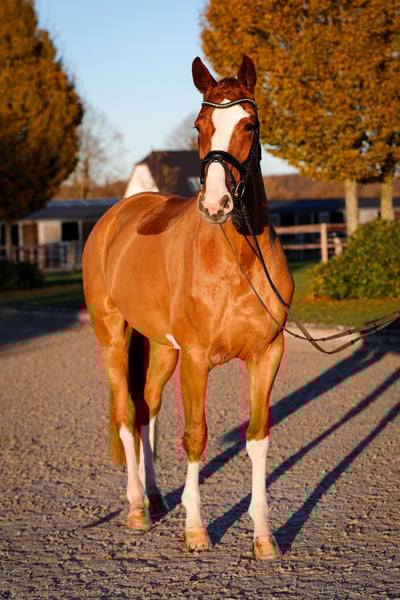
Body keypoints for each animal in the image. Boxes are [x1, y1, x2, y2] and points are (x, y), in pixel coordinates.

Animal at [82, 55, 294, 560]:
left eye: (249, 124)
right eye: (200, 126)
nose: (215, 204)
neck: (237, 261)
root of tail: (114, 217)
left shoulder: (267, 355)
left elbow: (257, 438)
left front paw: (263, 536)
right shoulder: (198, 360)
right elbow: (195, 436)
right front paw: (196, 530)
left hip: (162, 349)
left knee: (146, 408)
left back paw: (157, 496)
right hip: (113, 337)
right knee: (126, 414)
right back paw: (137, 507)